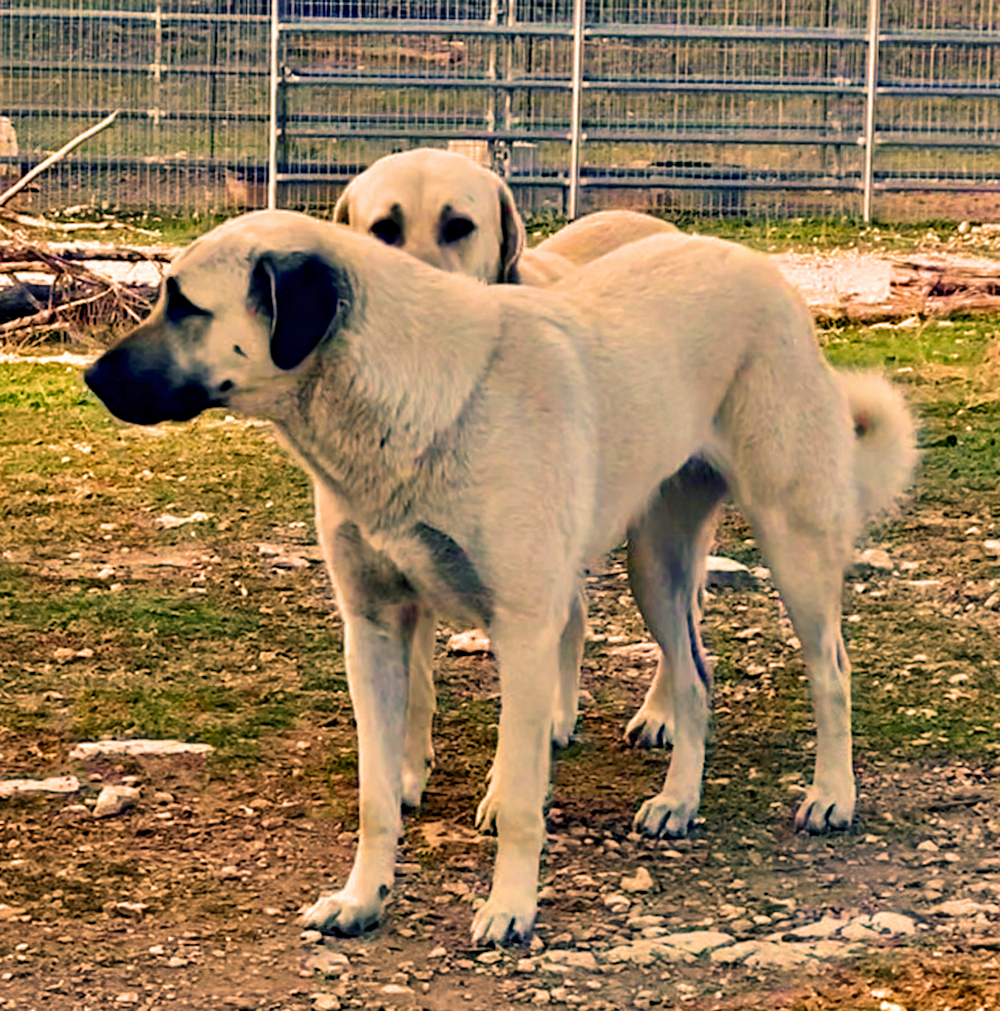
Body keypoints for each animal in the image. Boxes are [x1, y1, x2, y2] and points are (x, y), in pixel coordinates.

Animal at [83, 213, 914, 946]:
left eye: (186, 304)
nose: (90, 375)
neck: (409, 403)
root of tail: (752, 263)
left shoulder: (521, 627)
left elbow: (518, 796)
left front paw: (510, 910)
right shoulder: (373, 631)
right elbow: (377, 794)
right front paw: (362, 900)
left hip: (791, 541)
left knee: (830, 669)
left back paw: (831, 795)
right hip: (656, 564)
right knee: (695, 676)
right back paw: (679, 801)